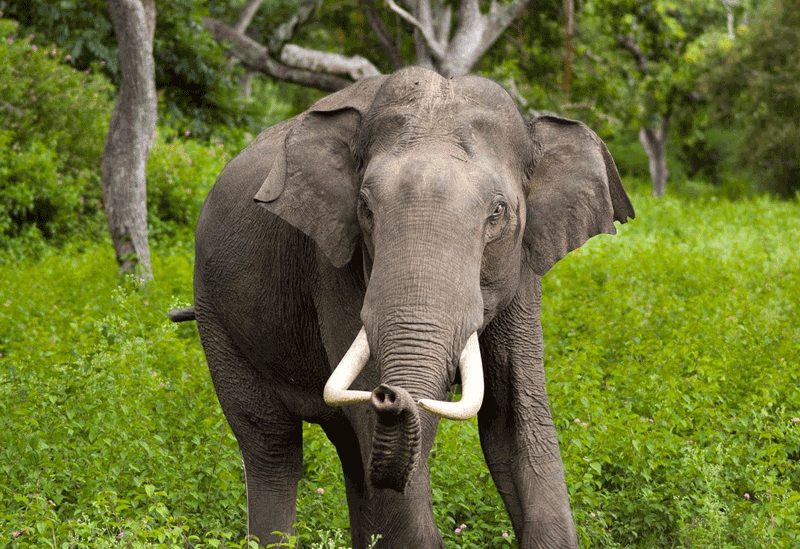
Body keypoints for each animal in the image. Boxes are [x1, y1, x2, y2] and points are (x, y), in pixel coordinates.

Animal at [172, 66, 636, 544]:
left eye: (498, 212)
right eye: (364, 208)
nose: (389, 394)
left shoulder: (523, 267)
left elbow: (515, 423)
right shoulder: (333, 264)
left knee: (349, 453)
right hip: (214, 312)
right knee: (271, 443)